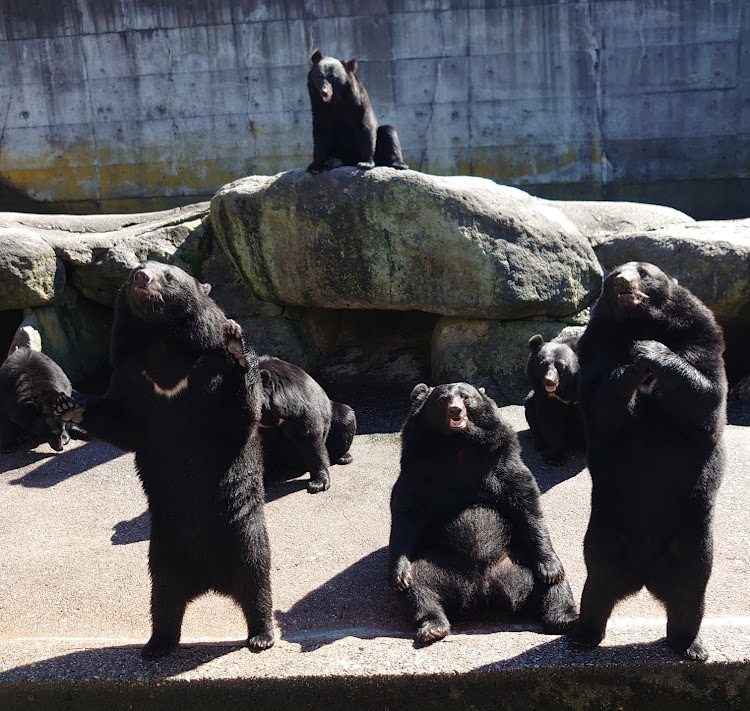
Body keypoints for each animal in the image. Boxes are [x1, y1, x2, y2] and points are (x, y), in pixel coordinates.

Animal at [55, 262, 274, 660]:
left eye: (168, 274)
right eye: (133, 272)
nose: (142, 277)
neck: (162, 344)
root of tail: (210, 581)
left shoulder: (208, 369)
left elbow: (238, 414)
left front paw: (237, 343)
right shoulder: (134, 377)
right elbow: (122, 422)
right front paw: (69, 405)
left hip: (243, 531)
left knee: (256, 580)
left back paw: (261, 635)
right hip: (163, 552)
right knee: (164, 599)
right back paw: (157, 644)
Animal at [258, 356, 358, 496]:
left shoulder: (298, 408)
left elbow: (309, 438)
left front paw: (318, 484)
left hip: (335, 415)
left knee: (346, 418)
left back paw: (344, 457)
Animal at [390, 384, 580, 644]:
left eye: (466, 396)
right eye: (442, 399)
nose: (456, 410)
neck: (458, 446)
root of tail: (481, 591)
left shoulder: (501, 461)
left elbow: (526, 502)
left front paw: (550, 569)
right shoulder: (419, 467)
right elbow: (406, 510)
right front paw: (400, 574)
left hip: (521, 560)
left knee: (554, 584)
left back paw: (564, 616)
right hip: (437, 566)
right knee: (420, 587)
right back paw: (433, 626)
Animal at [524, 336, 588, 468]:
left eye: (560, 365)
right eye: (543, 364)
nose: (549, 381)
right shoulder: (547, 397)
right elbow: (550, 420)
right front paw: (555, 458)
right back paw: (539, 443)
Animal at [568, 262, 728, 660]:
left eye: (643, 272)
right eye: (612, 275)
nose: (621, 282)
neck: (641, 324)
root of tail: (644, 575)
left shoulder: (701, 337)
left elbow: (705, 397)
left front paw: (651, 352)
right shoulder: (595, 352)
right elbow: (600, 407)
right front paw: (633, 360)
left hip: (692, 536)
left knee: (691, 590)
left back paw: (691, 645)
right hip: (605, 532)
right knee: (597, 583)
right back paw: (583, 633)